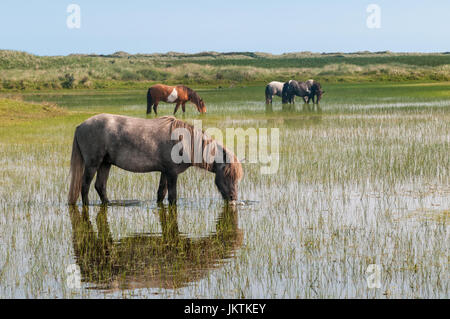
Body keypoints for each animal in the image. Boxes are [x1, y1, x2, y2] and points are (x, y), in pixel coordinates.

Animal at [67, 114, 243, 206]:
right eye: (227, 175)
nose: (233, 198)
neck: (183, 142)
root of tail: (80, 126)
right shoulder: (172, 174)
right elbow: (172, 197)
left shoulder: (165, 172)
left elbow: (160, 194)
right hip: (93, 164)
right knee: (85, 186)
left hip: (105, 164)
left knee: (100, 186)